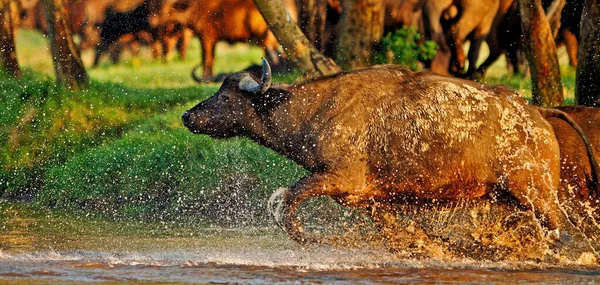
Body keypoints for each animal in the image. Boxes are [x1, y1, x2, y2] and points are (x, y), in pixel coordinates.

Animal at [183, 59, 600, 258]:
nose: (187, 116)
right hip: (508, 197)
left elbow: (288, 200)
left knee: (562, 230)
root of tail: (537, 114)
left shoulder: (336, 178)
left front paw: (307, 236)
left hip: (536, 193)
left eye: (225, 96)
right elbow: (400, 234)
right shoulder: (367, 199)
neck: (317, 111)